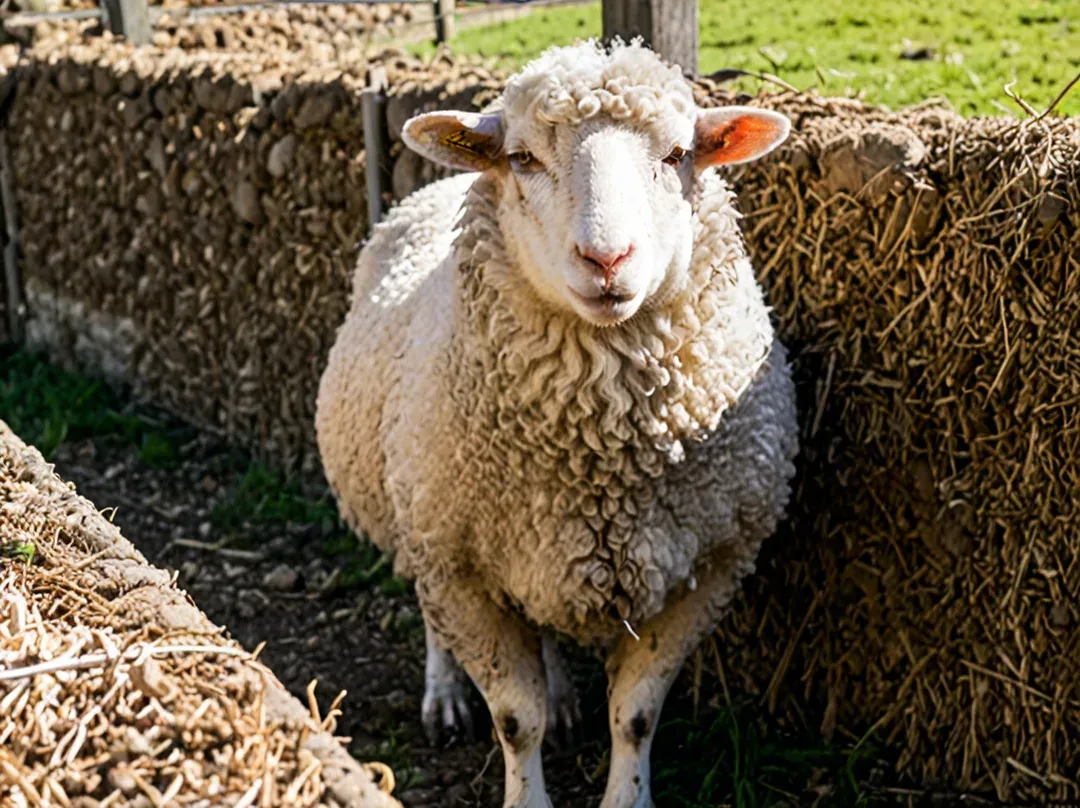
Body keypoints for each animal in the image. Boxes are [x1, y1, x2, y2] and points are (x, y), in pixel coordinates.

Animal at [315, 38, 798, 808]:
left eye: (679, 154)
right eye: (522, 159)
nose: (606, 259)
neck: (598, 460)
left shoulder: (713, 563)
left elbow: (635, 714)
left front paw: (627, 791)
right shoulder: (457, 565)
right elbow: (517, 719)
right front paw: (526, 787)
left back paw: (565, 695)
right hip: (418, 514)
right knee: (431, 616)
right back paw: (444, 695)